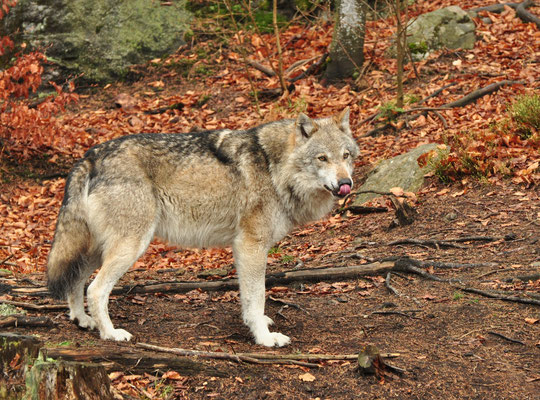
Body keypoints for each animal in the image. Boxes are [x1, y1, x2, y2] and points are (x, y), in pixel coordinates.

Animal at [46, 108, 358, 346]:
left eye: (346, 156)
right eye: (322, 158)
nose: (346, 183)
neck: (274, 167)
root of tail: (90, 156)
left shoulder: (242, 248)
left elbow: (249, 298)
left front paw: (257, 324)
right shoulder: (251, 245)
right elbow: (257, 296)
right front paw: (265, 338)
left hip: (97, 249)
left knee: (76, 280)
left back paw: (82, 320)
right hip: (130, 247)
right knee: (95, 289)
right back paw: (110, 333)